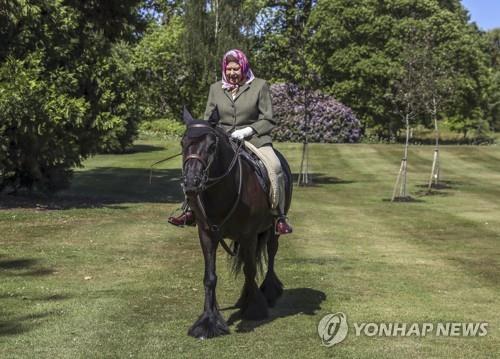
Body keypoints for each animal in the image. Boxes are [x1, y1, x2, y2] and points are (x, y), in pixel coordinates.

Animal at [182, 108, 292, 338]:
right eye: (182, 143)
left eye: (212, 146)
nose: (191, 183)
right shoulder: (206, 235)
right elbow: (210, 277)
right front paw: (208, 321)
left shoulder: (249, 235)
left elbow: (250, 271)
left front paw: (254, 309)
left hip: (273, 229)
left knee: (271, 253)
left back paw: (268, 292)